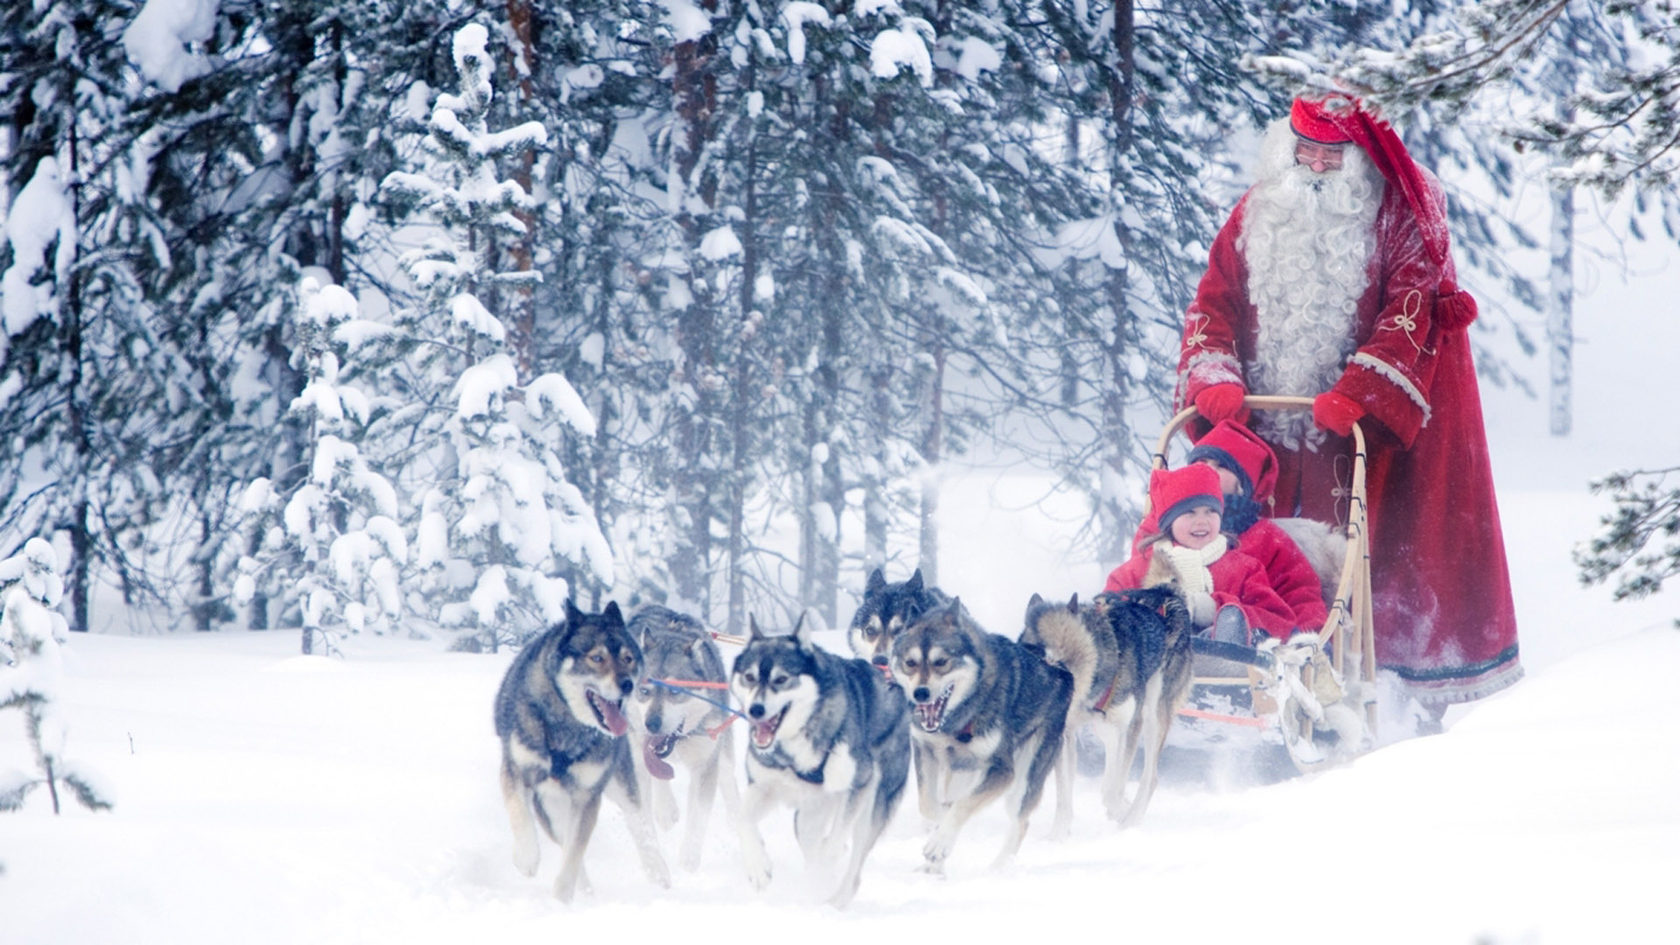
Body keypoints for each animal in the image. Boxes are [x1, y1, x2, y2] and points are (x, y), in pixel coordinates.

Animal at [490, 595, 668, 894]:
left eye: (628, 659)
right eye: (597, 658)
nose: (628, 684)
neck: (567, 727)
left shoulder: (587, 796)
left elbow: (574, 855)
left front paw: (562, 896)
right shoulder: (515, 771)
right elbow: (520, 815)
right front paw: (527, 857)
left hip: (619, 788)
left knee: (641, 829)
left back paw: (660, 878)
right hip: (551, 810)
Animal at [624, 601, 742, 867]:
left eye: (676, 691)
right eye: (643, 690)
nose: (652, 724)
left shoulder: (705, 763)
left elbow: (698, 819)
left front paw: (689, 860)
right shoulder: (638, 758)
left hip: (723, 754)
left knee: (730, 788)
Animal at [732, 612, 913, 908]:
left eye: (781, 679)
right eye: (749, 677)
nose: (755, 709)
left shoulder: (858, 785)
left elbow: (834, 843)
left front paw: (827, 864)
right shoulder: (763, 787)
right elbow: (740, 818)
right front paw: (758, 866)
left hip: (872, 807)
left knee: (853, 863)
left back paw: (835, 899)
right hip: (808, 817)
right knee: (813, 845)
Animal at [893, 595, 1075, 867]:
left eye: (941, 662)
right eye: (910, 663)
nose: (920, 693)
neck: (955, 720)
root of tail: (1059, 669)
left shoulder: (1002, 771)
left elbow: (961, 806)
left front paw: (940, 842)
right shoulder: (924, 749)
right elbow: (929, 805)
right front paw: (939, 826)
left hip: (1025, 776)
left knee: (1020, 822)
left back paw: (997, 869)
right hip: (962, 773)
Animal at [1021, 585, 1196, 827]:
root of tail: (1164, 591)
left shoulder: (1125, 726)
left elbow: (1111, 791)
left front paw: (1121, 813)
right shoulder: (1065, 734)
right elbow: (1064, 799)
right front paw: (1058, 833)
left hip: (1153, 716)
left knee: (1149, 778)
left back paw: (1131, 819)